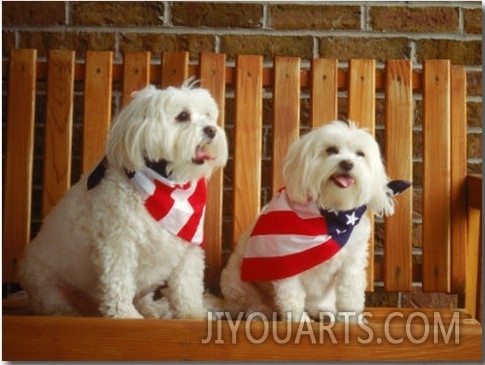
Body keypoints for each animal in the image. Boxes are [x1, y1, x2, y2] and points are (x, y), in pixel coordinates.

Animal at [19, 83, 228, 318]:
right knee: (52, 299)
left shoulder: (188, 244)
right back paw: (64, 311)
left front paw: (193, 313)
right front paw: (124, 314)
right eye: (182, 116)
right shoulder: (118, 241)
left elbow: (187, 285)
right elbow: (118, 280)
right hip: (44, 281)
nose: (211, 130)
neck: (167, 182)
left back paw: (150, 309)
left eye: (208, 116)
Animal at [221, 121, 410, 320]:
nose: (347, 163)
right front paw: (298, 320)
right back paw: (260, 311)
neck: (331, 215)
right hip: (236, 283)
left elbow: (350, 292)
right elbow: (291, 295)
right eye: (331, 150)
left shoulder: (352, 263)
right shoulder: (285, 261)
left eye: (360, 154)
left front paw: (352, 319)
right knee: (250, 302)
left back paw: (322, 309)